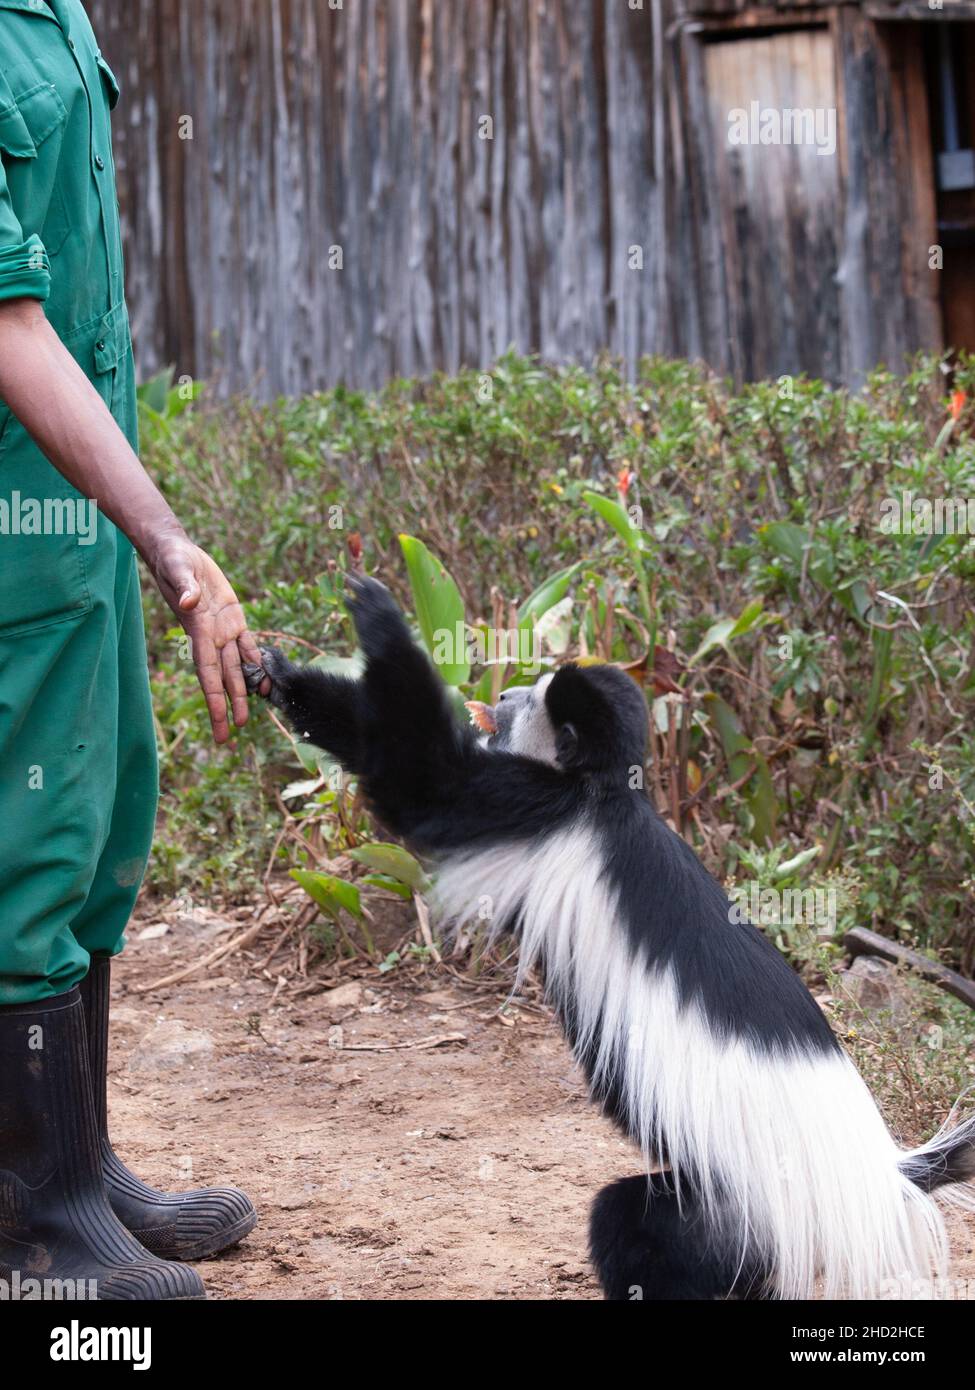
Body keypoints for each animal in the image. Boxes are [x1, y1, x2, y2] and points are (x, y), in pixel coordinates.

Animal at [247, 569, 968, 1295]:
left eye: (530, 701)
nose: (502, 693)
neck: (608, 790)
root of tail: (877, 1183)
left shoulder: (533, 804)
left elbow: (420, 779)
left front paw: (377, 615)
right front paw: (272, 671)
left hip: (735, 1216)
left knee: (629, 1224)